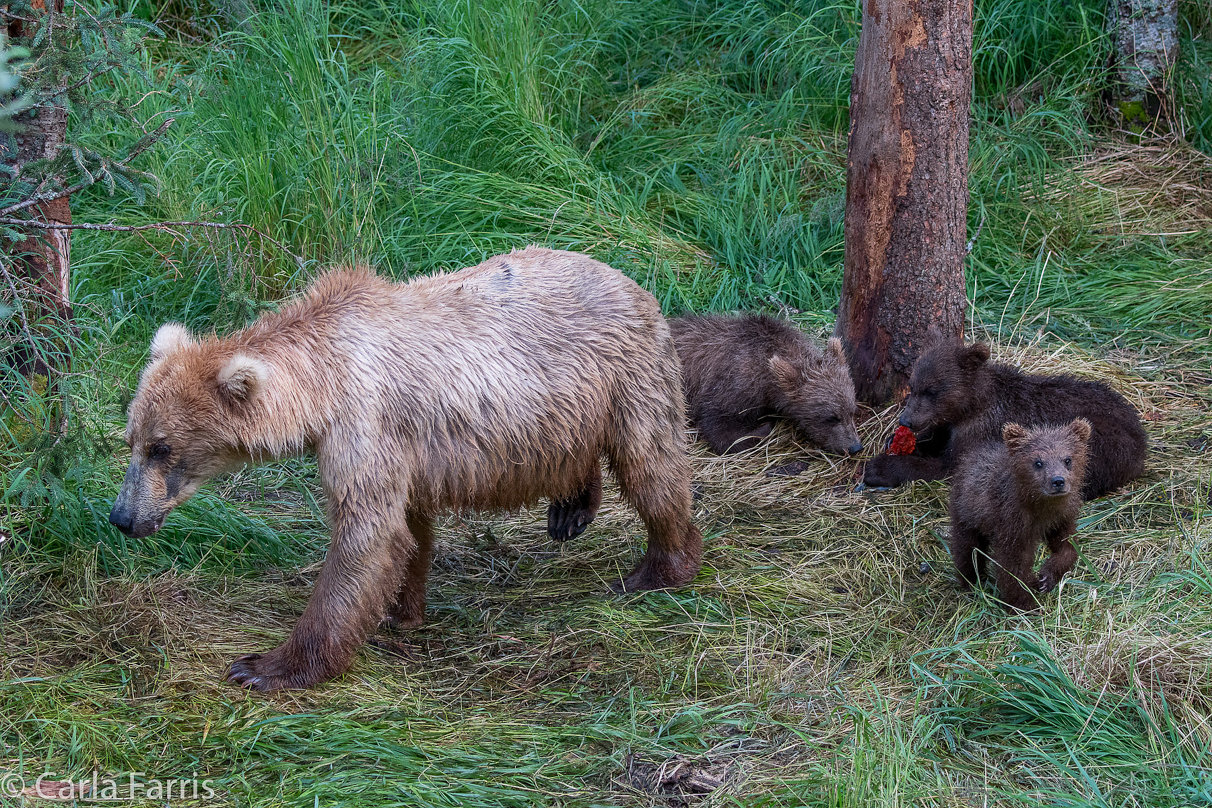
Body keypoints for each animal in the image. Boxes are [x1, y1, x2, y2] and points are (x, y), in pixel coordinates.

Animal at [111, 247, 707, 688]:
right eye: (132, 438)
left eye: (162, 448)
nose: (121, 517)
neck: (320, 383)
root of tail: (635, 282)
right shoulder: (405, 447)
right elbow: (409, 529)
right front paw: (400, 609)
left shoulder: (364, 425)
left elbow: (365, 536)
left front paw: (266, 666)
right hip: (568, 404)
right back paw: (570, 511)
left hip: (628, 377)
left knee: (652, 468)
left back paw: (658, 570)